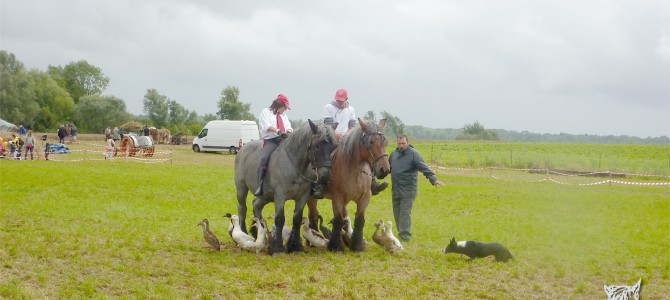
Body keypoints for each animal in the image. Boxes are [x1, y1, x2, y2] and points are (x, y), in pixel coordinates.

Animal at [235, 119, 338, 255]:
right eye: (317, 145)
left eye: (334, 146)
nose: (325, 176)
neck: (295, 165)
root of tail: (243, 148)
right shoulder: (280, 196)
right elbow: (280, 219)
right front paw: (278, 248)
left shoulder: (302, 197)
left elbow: (297, 219)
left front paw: (296, 246)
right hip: (241, 189)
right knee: (242, 209)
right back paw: (245, 235)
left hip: (266, 196)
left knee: (256, 206)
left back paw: (263, 235)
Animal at [312, 118, 394, 252]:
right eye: (371, 142)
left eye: (384, 141)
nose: (384, 169)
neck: (353, 171)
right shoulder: (337, 198)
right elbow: (338, 219)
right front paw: (336, 246)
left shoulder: (364, 198)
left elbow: (359, 220)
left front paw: (358, 246)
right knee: (313, 215)